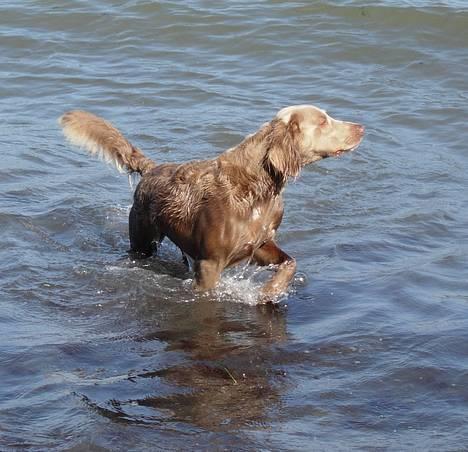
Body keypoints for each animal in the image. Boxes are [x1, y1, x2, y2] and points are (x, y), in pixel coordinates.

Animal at [59, 105, 366, 302]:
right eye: (323, 121)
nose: (361, 127)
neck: (259, 187)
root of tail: (153, 168)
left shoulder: (258, 244)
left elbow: (290, 263)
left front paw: (270, 291)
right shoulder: (209, 263)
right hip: (142, 237)